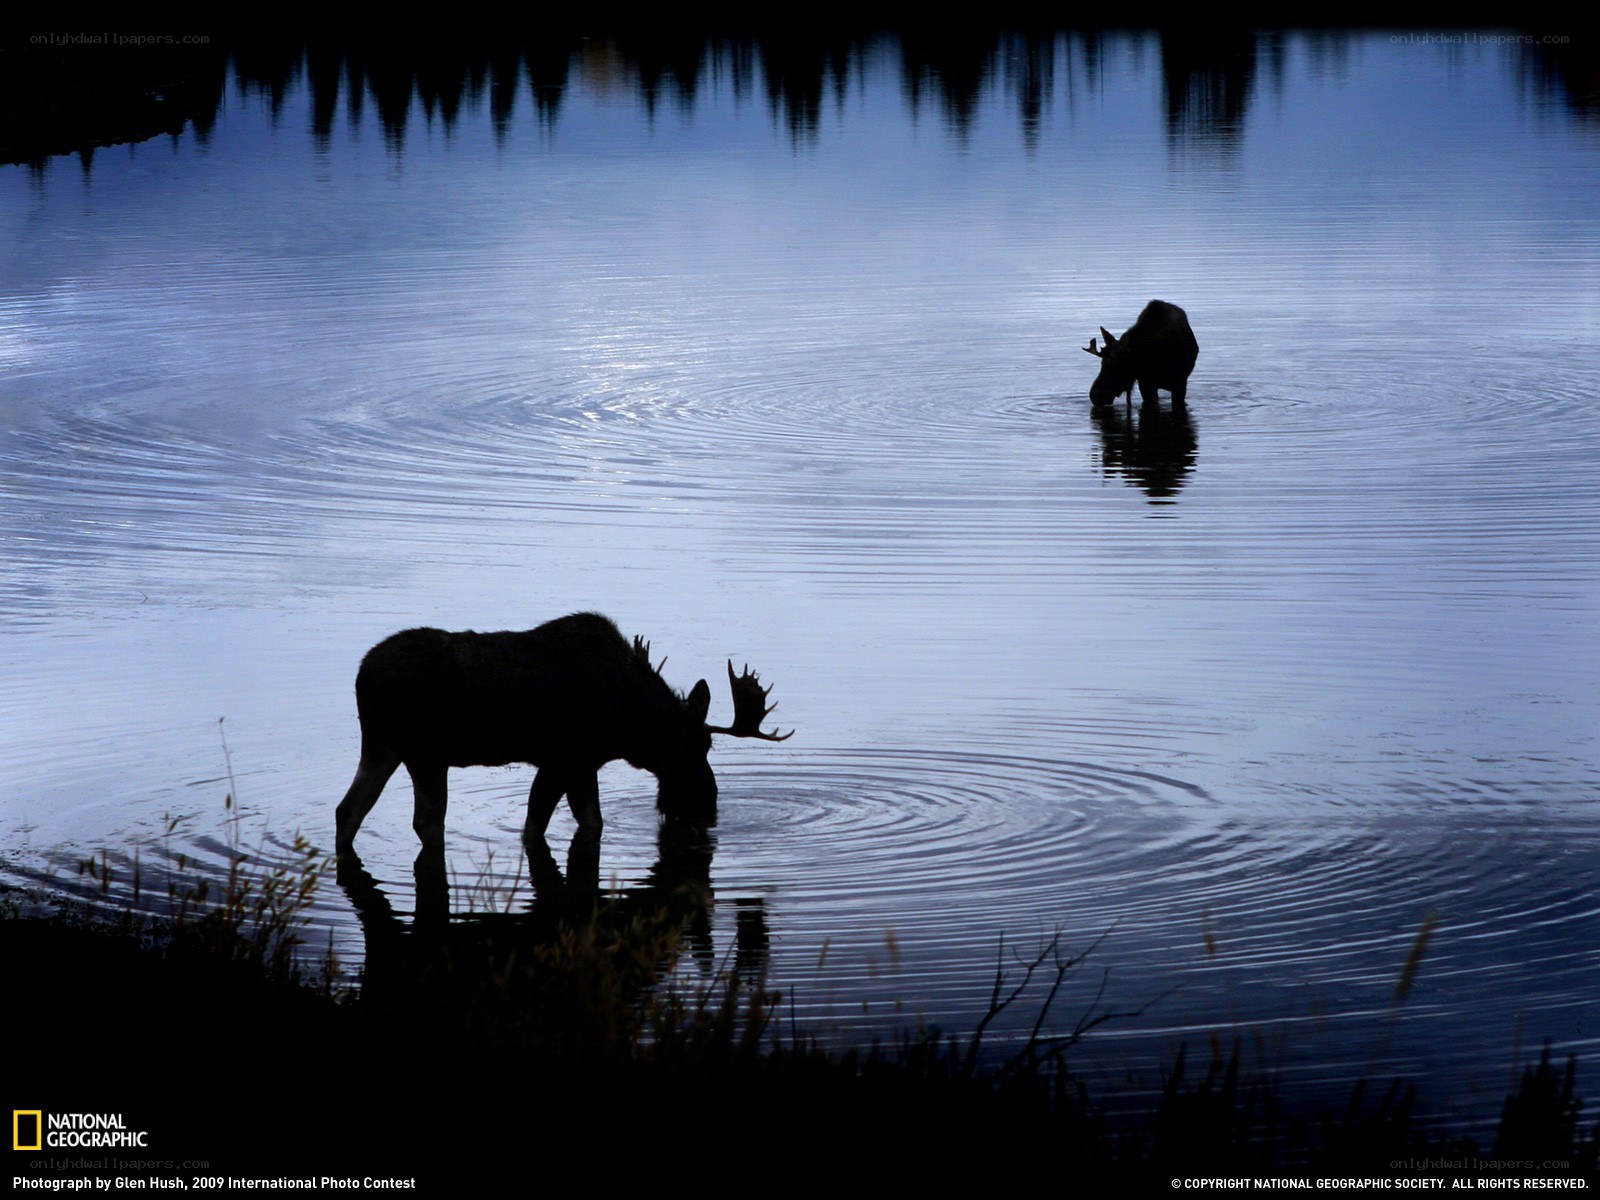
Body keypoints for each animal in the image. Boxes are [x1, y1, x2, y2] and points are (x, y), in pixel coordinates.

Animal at [333, 612, 791, 858]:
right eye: (698, 746)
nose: (708, 801)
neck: (627, 723)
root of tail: (361, 676)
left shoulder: (583, 766)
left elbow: (592, 822)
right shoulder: (560, 760)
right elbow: (538, 827)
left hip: (382, 746)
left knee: (349, 809)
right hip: (426, 754)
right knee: (427, 821)